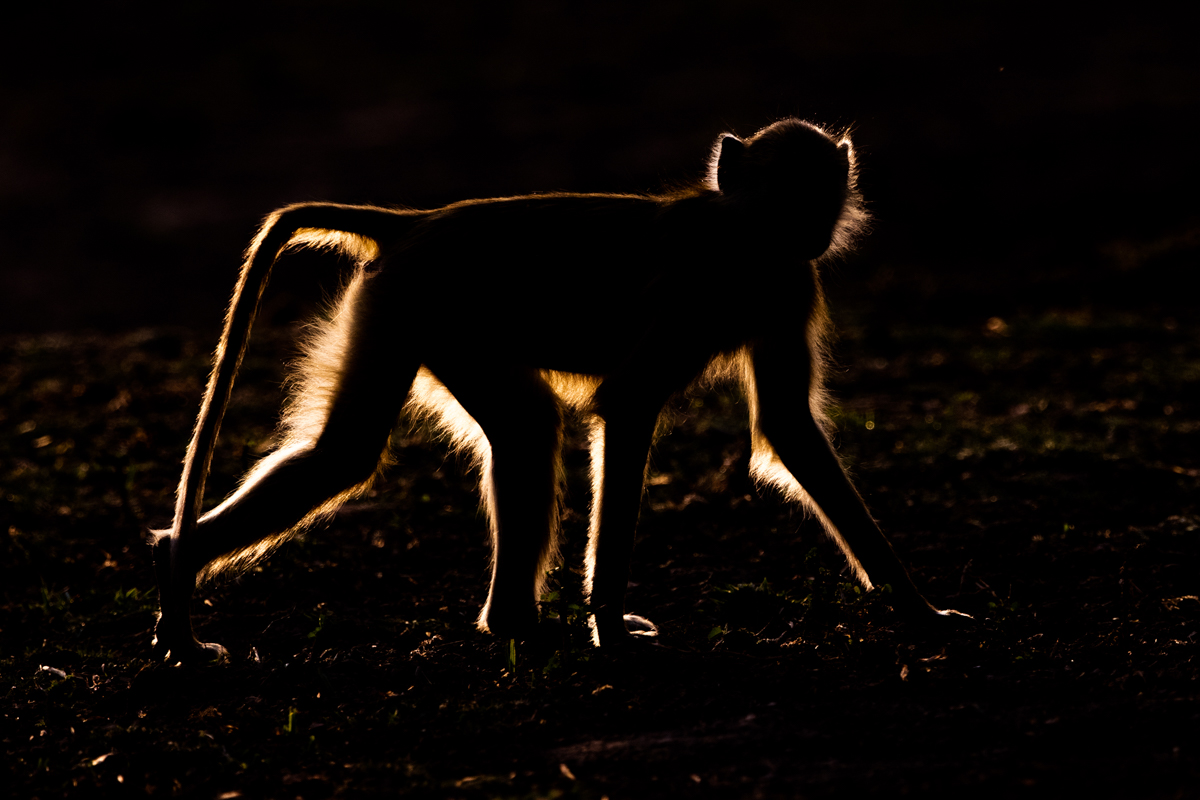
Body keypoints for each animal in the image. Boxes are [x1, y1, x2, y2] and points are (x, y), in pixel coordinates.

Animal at [150, 118, 967, 665]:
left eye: (820, 193)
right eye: (785, 191)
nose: (813, 227)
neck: (746, 238)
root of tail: (415, 222)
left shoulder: (790, 283)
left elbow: (791, 429)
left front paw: (919, 610)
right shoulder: (702, 289)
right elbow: (630, 404)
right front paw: (607, 626)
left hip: (412, 311)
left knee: (418, 442)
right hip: (424, 302)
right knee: (443, 440)